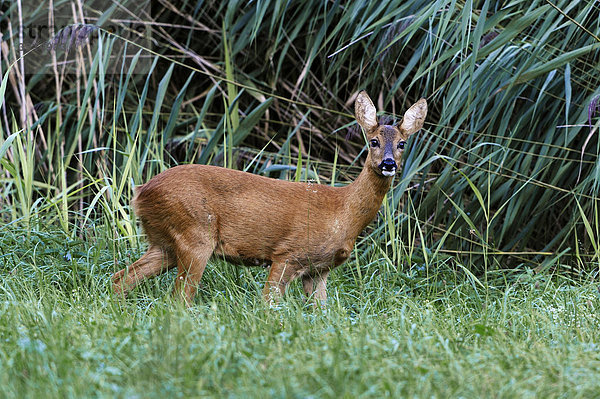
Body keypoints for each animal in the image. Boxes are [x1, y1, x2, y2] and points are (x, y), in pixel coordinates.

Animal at [112, 92, 426, 308]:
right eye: (373, 141)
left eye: (402, 143)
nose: (388, 164)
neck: (343, 212)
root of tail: (141, 191)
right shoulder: (287, 254)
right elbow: (268, 304)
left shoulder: (319, 270)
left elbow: (323, 313)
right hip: (195, 234)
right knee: (179, 298)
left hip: (164, 242)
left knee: (121, 279)